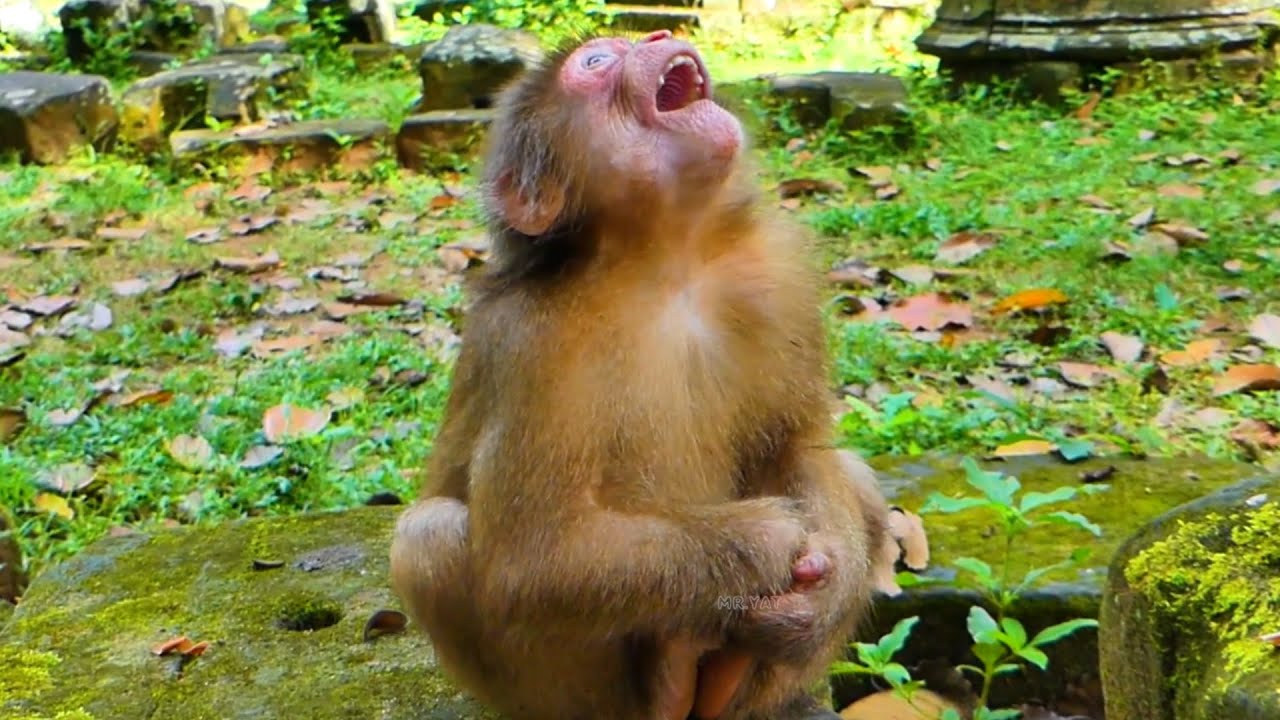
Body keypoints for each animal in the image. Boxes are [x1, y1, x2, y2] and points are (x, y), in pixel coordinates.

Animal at [390, 30, 895, 720]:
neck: (665, 266)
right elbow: (534, 559)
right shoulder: (529, 340)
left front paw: (814, 604)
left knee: (852, 475)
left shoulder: (777, 274)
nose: (654, 36)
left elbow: (800, 446)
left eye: (623, 42)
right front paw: (765, 541)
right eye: (597, 62)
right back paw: (668, 681)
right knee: (429, 538)